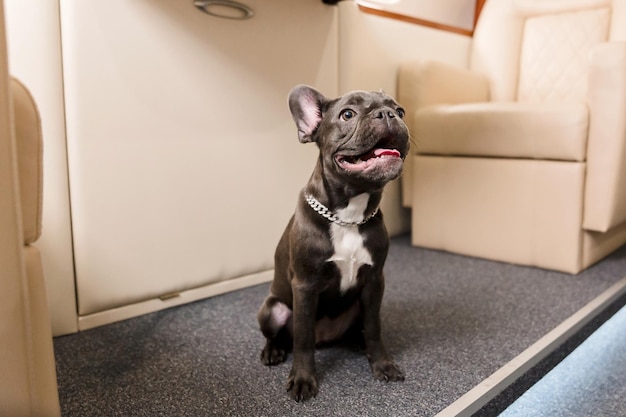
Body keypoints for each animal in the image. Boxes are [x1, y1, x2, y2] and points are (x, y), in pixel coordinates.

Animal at [256, 84, 408, 400]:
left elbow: (374, 328)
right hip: (272, 308)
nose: (386, 114)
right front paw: (303, 379)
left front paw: (382, 364)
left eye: (400, 111)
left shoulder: (374, 281)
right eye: (347, 114)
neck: (348, 216)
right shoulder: (304, 286)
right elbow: (303, 339)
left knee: (363, 327)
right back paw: (273, 351)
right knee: (282, 335)